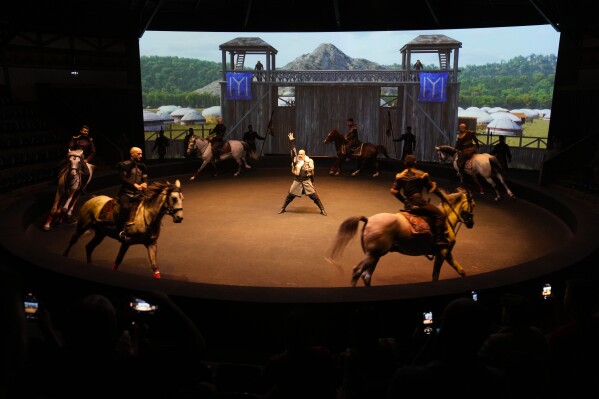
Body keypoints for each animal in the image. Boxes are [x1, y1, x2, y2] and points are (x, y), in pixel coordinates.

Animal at [326, 188, 476, 288]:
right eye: (473, 205)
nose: (471, 224)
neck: (446, 220)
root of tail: (368, 220)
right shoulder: (442, 253)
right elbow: (435, 276)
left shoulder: (447, 253)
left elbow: (461, 271)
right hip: (373, 255)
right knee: (358, 271)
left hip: (374, 256)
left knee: (366, 275)